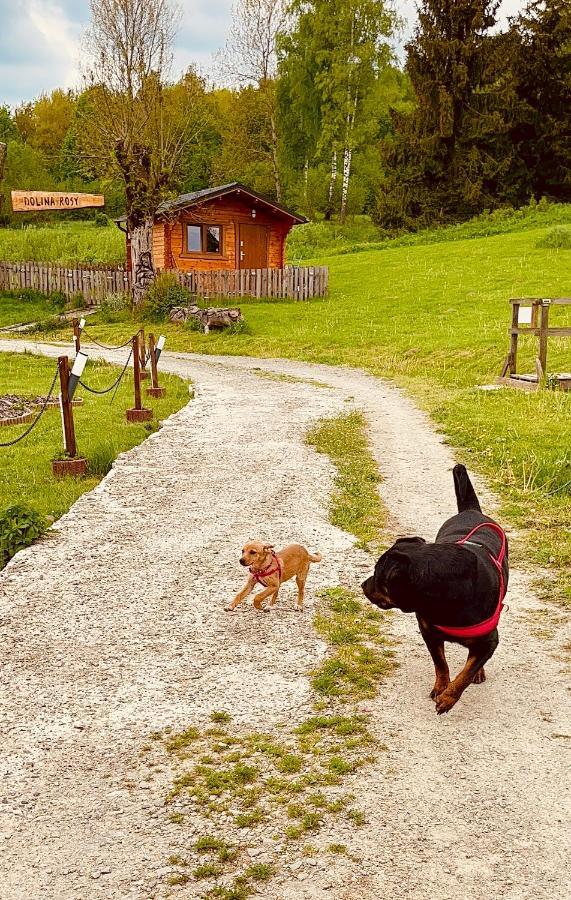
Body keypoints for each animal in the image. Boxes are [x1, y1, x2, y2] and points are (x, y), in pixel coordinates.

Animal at [362, 468, 510, 712]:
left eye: (377, 574)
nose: (363, 584)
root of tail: (470, 511)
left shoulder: (490, 640)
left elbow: (466, 673)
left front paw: (449, 697)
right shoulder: (428, 631)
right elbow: (440, 663)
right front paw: (442, 687)